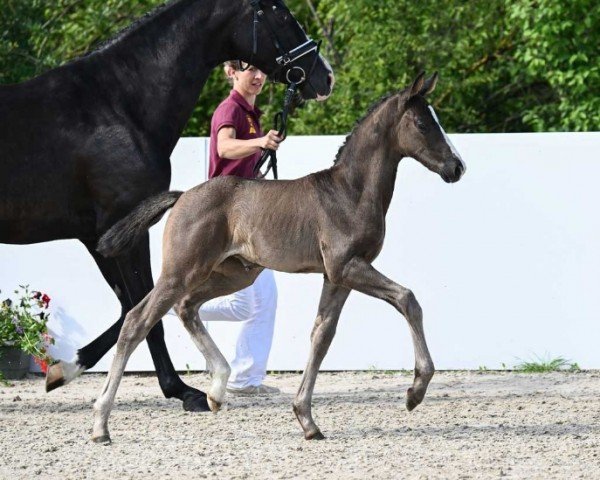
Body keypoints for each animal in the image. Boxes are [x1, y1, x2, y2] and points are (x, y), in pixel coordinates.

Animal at [1, 0, 332, 412]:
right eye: (282, 15)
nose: (325, 77)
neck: (117, 105)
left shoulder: (101, 238)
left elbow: (132, 307)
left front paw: (65, 369)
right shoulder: (125, 232)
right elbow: (145, 312)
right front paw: (183, 390)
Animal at [94, 72, 466, 442]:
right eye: (422, 123)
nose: (457, 167)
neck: (349, 193)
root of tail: (183, 195)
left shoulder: (337, 276)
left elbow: (322, 335)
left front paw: (307, 419)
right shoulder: (347, 267)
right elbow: (407, 299)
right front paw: (415, 391)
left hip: (235, 273)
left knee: (186, 306)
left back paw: (216, 391)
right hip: (181, 270)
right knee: (137, 319)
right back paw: (101, 423)